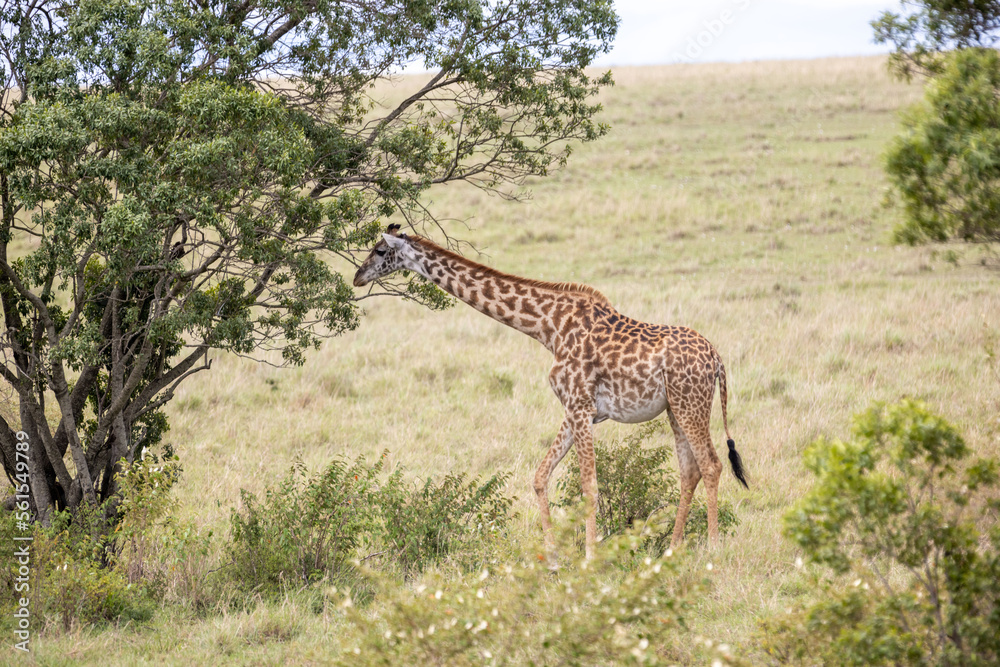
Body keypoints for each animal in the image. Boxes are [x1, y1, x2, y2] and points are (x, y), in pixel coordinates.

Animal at [353, 224, 748, 558]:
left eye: (379, 250)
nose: (357, 277)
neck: (548, 327)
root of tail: (717, 359)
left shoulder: (579, 405)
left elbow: (588, 485)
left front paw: (590, 556)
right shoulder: (579, 410)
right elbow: (541, 476)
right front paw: (554, 557)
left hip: (690, 404)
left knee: (711, 465)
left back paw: (713, 548)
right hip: (674, 408)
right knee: (690, 471)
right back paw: (672, 548)